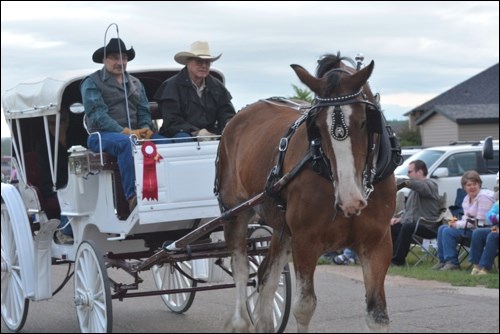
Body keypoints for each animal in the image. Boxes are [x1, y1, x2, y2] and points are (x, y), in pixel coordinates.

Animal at [218, 54, 398, 332]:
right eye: (317, 128)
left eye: (364, 122)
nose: (350, 199)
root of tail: (237, 119)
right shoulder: (305, 241)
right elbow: (304, 307)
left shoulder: (377, 243)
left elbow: (377, 315)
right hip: (235, 214)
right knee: (241, 269)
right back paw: (239, 322)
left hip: (282, 229)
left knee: (266, 278)